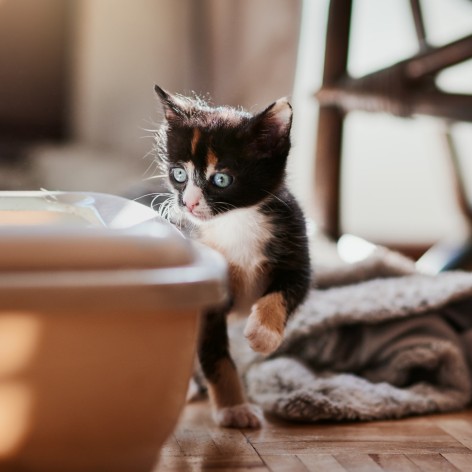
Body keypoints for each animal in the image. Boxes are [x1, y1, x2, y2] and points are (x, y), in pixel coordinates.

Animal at [153, 85, 312, 428]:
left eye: (221, 179)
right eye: (178, 174)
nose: (188, 203)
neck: (236, 222)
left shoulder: (297, 251)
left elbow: (285, 291)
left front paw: (264, 334)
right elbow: (215, 355)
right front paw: (234, 408)